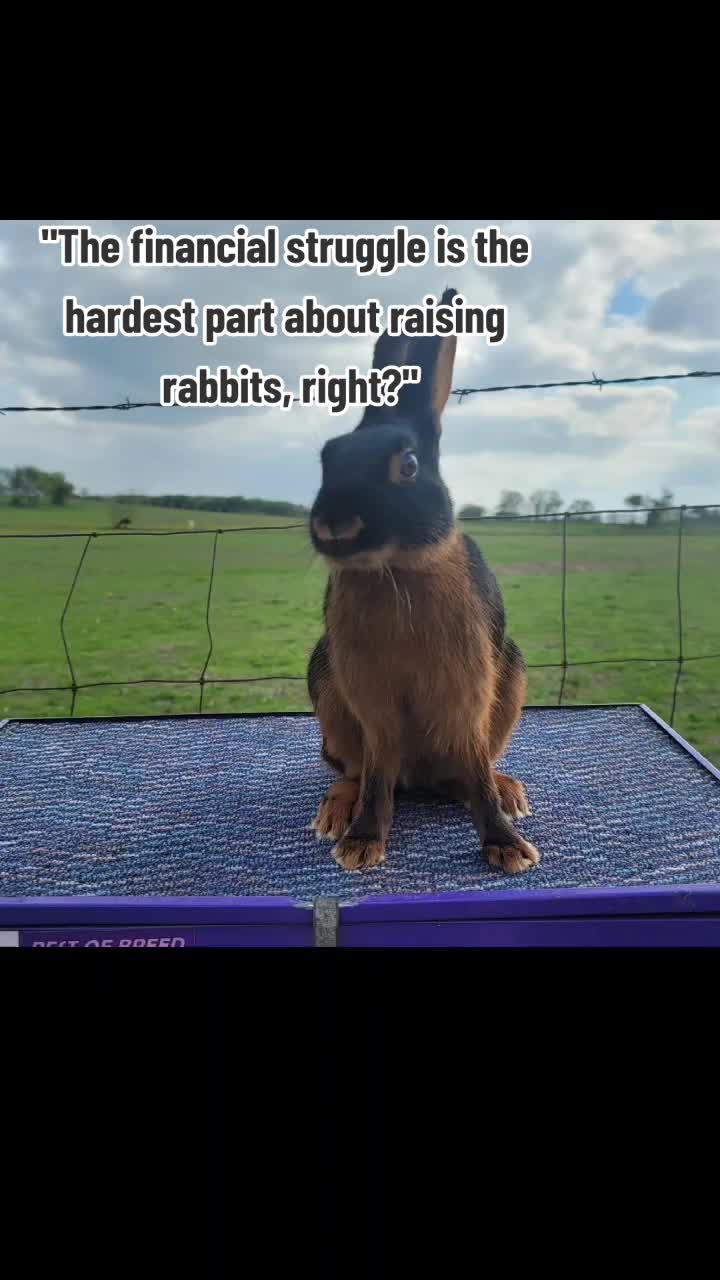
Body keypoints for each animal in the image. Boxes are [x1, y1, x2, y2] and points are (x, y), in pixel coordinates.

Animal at [306, 287, 539, 876]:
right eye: (327, 459)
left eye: (408, 466)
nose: (334, 525)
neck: (397, 569)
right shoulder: (375, 710)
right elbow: (375, 780)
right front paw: (361, 844)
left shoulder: (467, 696)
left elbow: (476, 774)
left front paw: (508, 848)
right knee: (357, 774)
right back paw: (335, 812)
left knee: (470, 776)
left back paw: (509, 791)